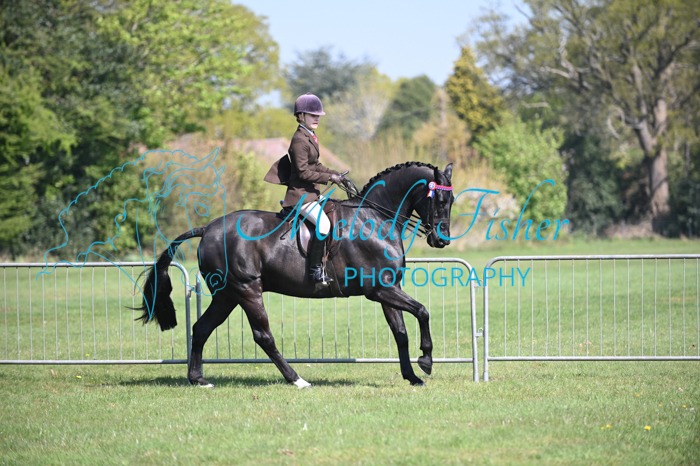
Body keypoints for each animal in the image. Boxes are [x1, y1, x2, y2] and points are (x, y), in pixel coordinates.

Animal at [137, 161, 455, 387]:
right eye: (439, 201)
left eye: (450, 202)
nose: (441, 241)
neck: (375, 218)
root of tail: (208, 229)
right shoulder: (379, 290)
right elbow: (423, 311)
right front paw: (426, 360)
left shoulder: (387, 289)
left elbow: (400, 332)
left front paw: (412, 376)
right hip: (247, 290)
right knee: (263, 336)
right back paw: (297, 379)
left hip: (226, 295)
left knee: (201, 328)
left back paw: (198, 379)